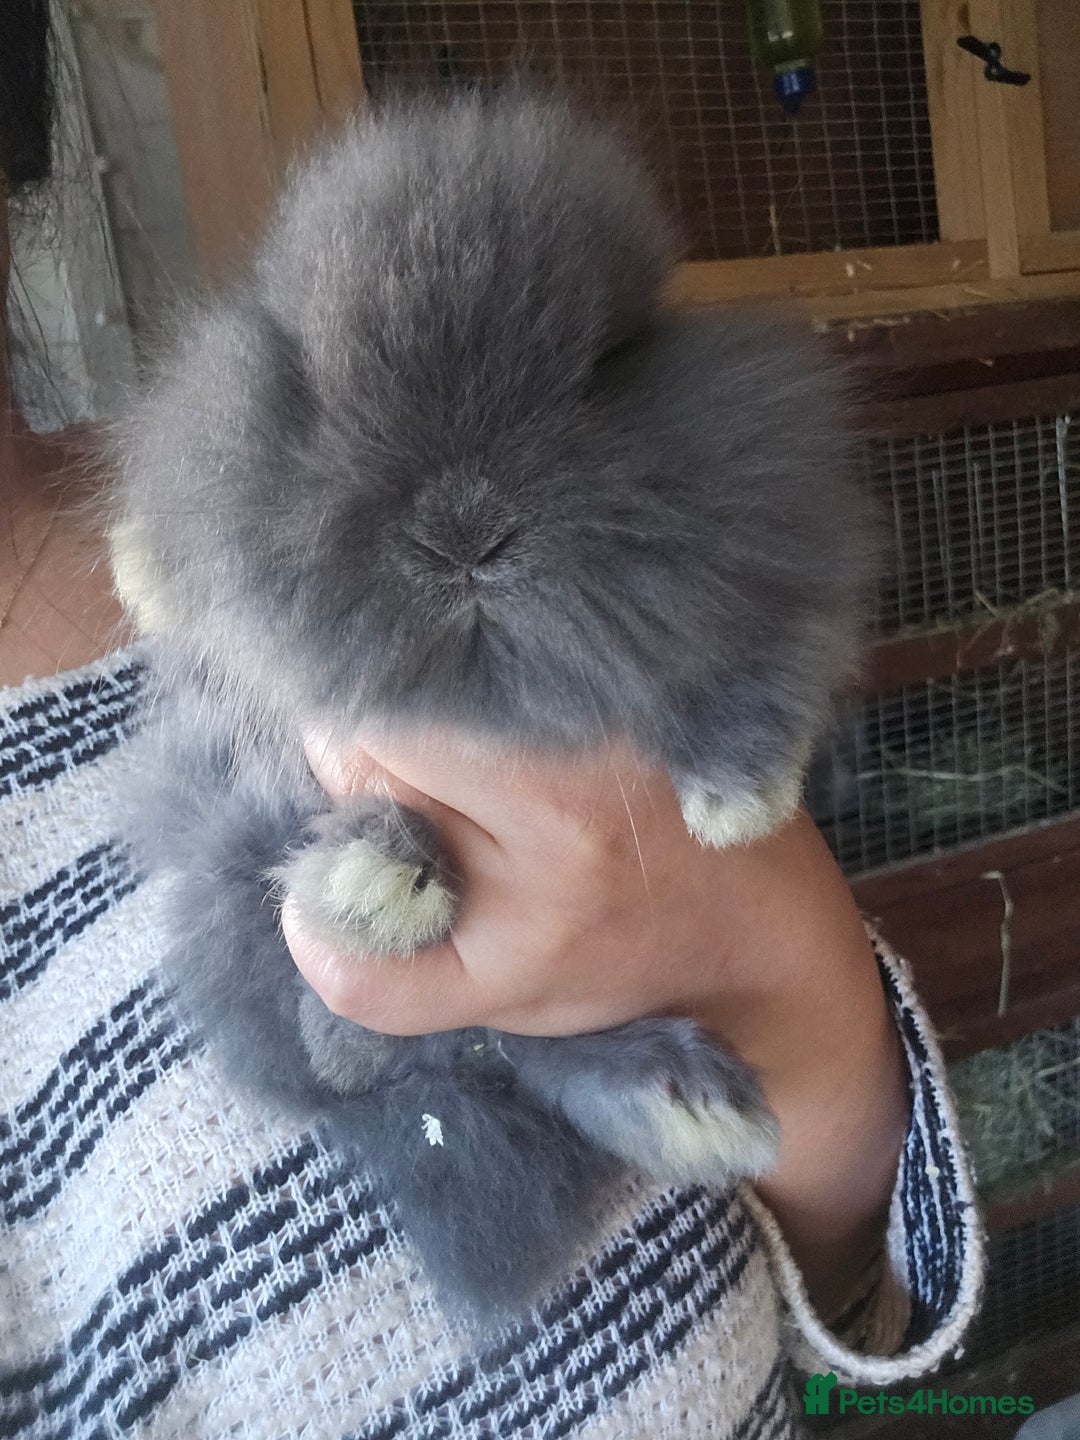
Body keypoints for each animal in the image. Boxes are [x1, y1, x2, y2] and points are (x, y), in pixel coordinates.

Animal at [109, 84, 877, 1318]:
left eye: (605, 366)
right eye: (314, 381)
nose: (463, 528)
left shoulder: (786, 562)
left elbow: (756, 664)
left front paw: (737, 802)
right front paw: (140, 568)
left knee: (517, 1049)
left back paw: (685, 1106)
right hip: (235, 887)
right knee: (350, 1036)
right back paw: (372, 897)